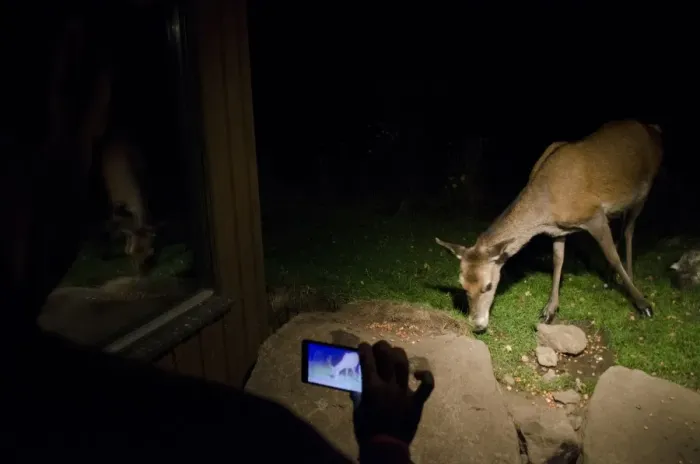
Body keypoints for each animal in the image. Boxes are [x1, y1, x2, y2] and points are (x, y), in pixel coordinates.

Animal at [436, 120, 663, 332]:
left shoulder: (595, 214)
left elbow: (612, 257)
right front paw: (549, 310)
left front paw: (643, 304)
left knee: (630, 230)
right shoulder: (558, 230)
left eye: (488, 286)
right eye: (463, 285)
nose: (477, 324)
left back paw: (630, 279)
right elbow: (557, 261)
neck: (547, 209)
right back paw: (609, 278)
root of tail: (653, 129)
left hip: (644, 191)